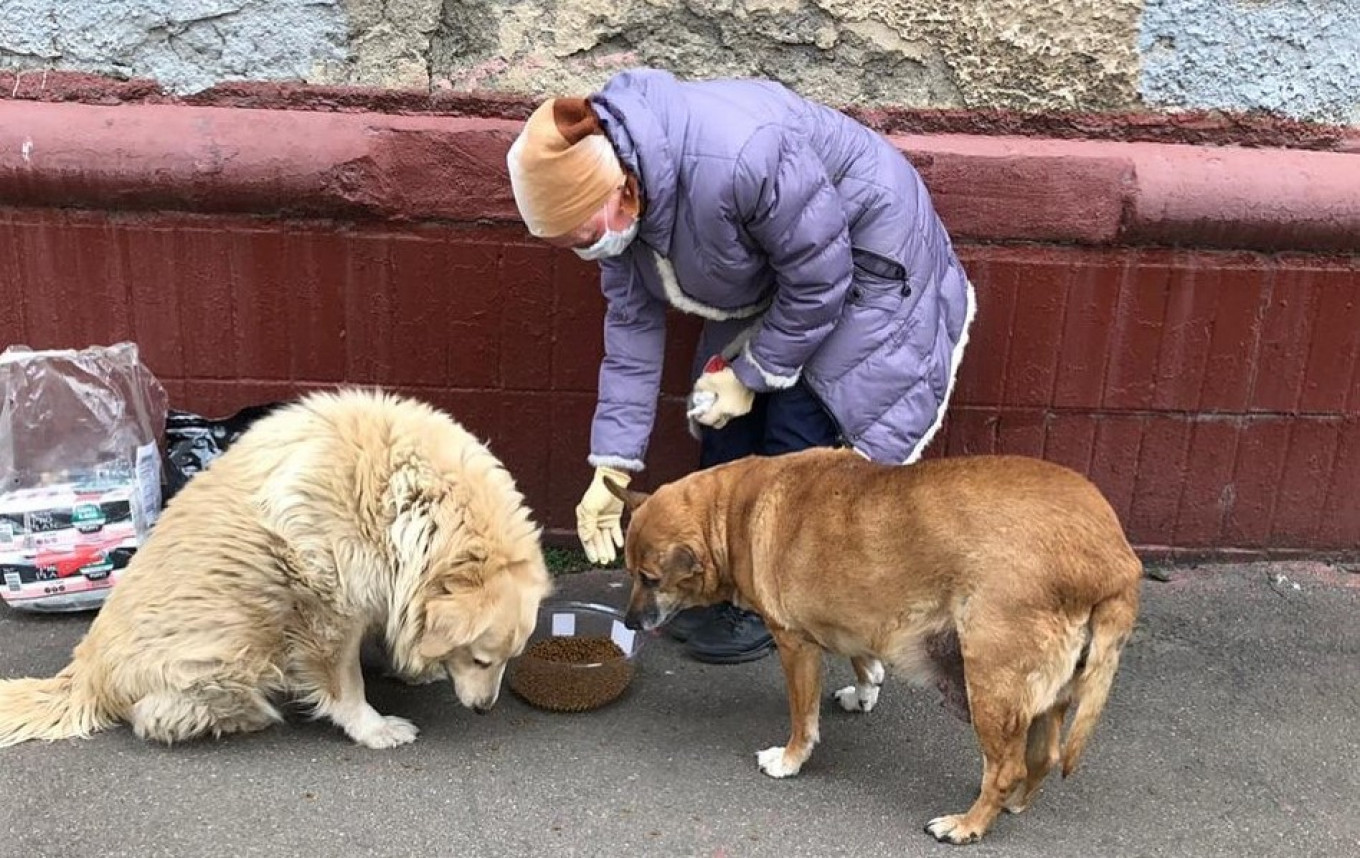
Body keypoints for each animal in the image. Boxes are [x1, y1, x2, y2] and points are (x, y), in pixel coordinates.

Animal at [1, 386, 552, 750]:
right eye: (480, 659)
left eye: (505, 659)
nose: (483, 709)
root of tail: (84, 676)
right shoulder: (326, 616)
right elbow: (345, 684)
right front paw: (373, 729)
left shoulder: (382, 583)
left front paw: (415, 666)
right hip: (226, 654)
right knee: (155, 716)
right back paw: (251, 714)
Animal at [612, 448, 1142, 848]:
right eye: (629, 572)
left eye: (650, 579)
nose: (629, 622)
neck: (733, 511)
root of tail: (1114, 560)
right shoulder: (857, 617)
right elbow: (863, 657)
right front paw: (865, 689)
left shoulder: (795, 646)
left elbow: (802, 720)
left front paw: (791, 760)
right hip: (1045, 694)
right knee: (1042, 757)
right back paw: (1010, 804)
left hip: (991, 681)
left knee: (1007, 766)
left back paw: (968, 825)